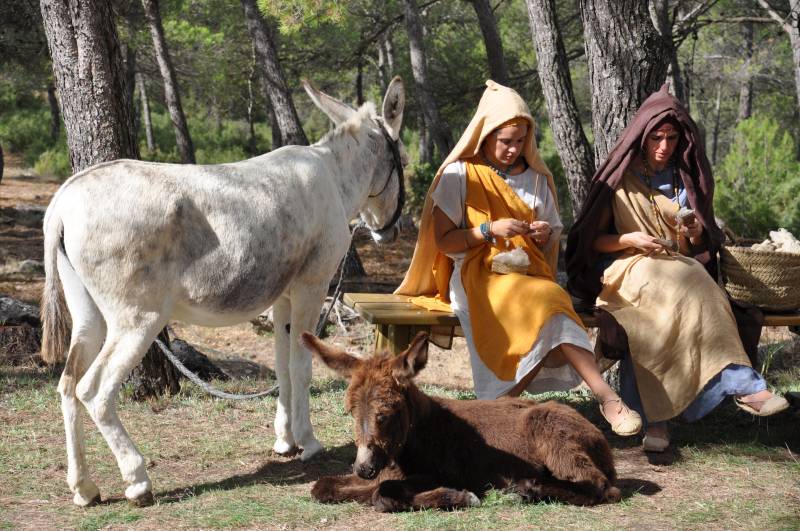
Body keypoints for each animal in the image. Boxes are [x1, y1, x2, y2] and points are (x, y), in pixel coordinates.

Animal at [300, 332, 620, 512]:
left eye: (386, 413)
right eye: (350, 412)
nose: (364, 468)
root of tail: (601, 441)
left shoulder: (443, 472)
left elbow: (382, 494)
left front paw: (458, 497)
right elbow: (321, 487)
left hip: (550, 430)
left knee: (602, 487)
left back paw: (528, 491)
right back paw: (527, 488)